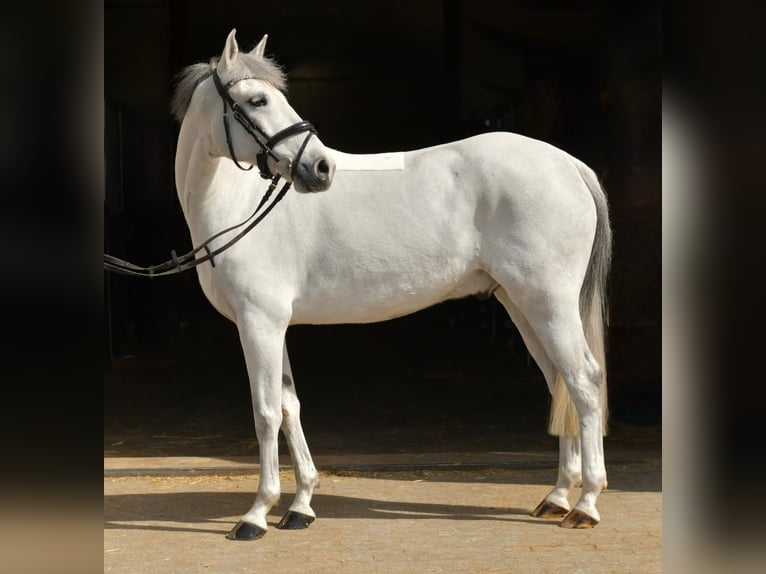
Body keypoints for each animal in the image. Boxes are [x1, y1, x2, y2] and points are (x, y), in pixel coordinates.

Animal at [170, 29, 612, 540]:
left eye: (277, 97)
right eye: (258, 100)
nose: (320, 169)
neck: (237, 205)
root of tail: (568, 164)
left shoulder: (258, 323)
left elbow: (265, 414)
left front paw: (257, 513)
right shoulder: (272, 325)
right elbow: (288, 407)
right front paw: (300, 506)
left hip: (549, 304)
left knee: (583, 381)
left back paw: (587, 504)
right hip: (523, 306)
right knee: (560, 382)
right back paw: (557, 497)